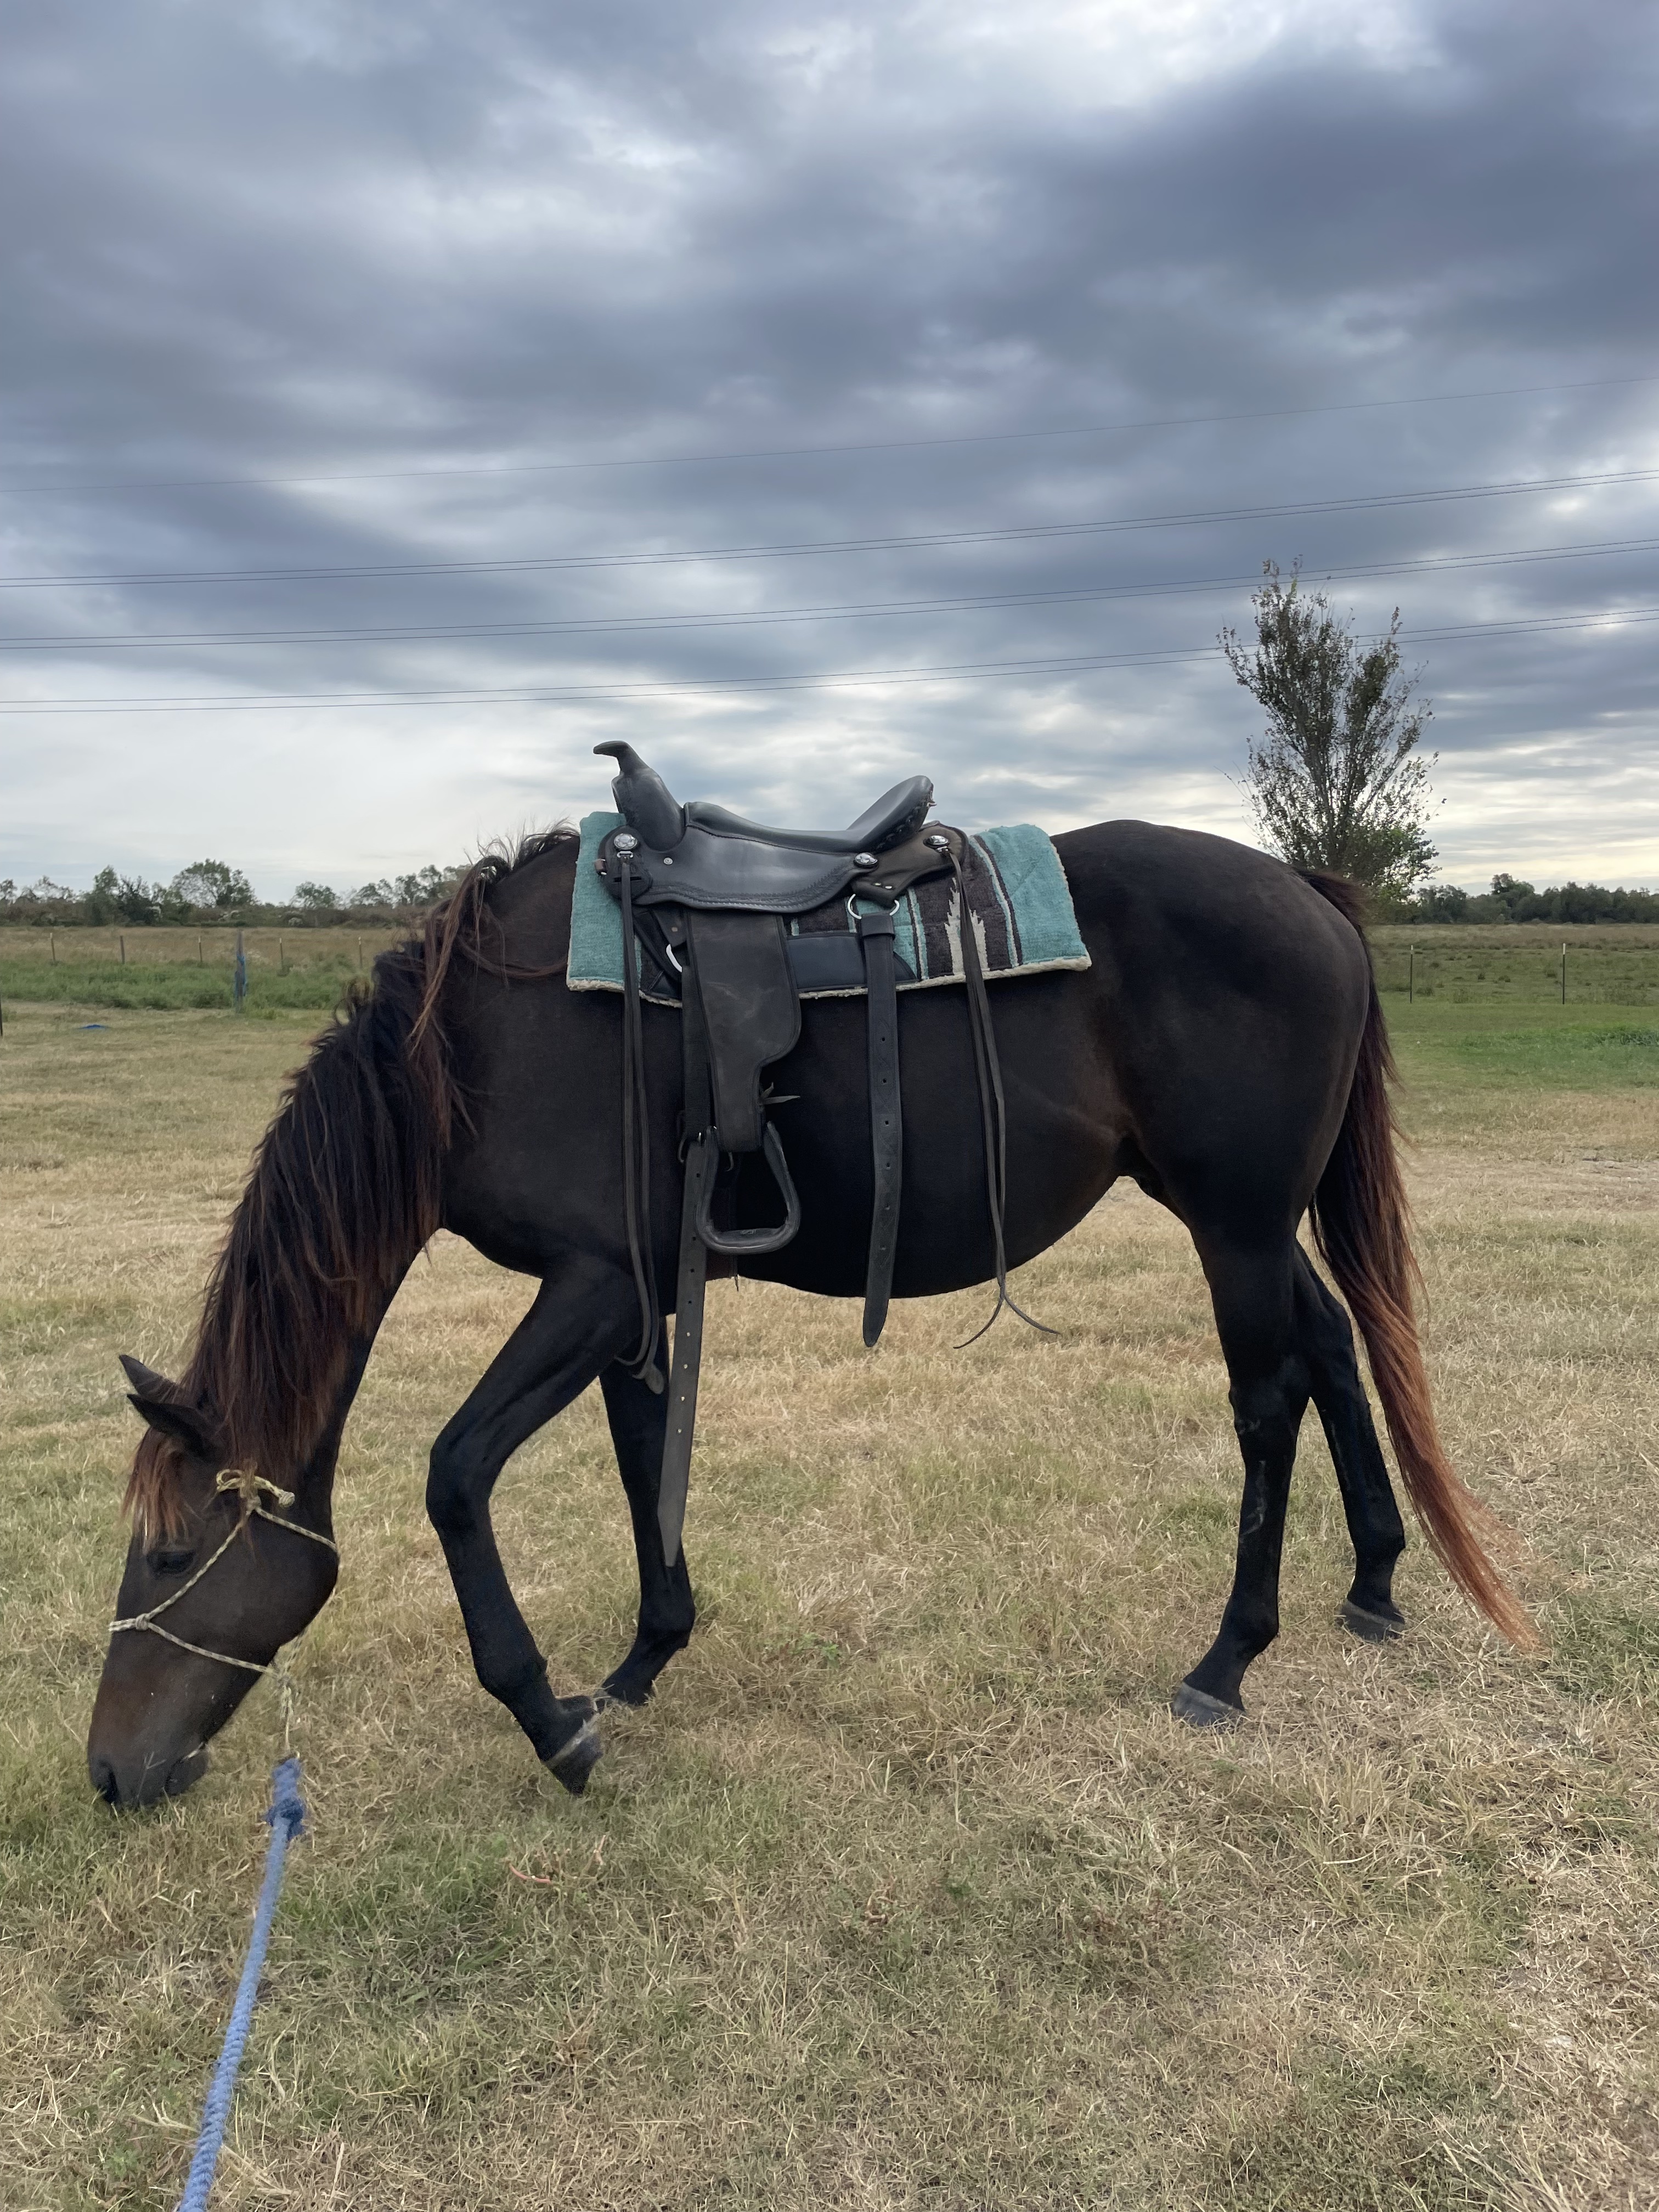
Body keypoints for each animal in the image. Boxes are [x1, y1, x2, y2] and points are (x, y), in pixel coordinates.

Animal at [87, 817, 1531, 1808]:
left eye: (171, 1554)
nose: (112, 1774)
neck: (481, 1045)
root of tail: (1309, 892)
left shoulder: (592, 1284)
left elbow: (455, 1474)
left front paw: (554, 1722)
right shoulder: (629, 1296)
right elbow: (642, 1460)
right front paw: (643, 1662)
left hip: (1234, 1226)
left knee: (1268, 1399)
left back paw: (1229, 1660)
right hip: (1240, 1219)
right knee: (1337, 1345)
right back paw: (1376, 1579)